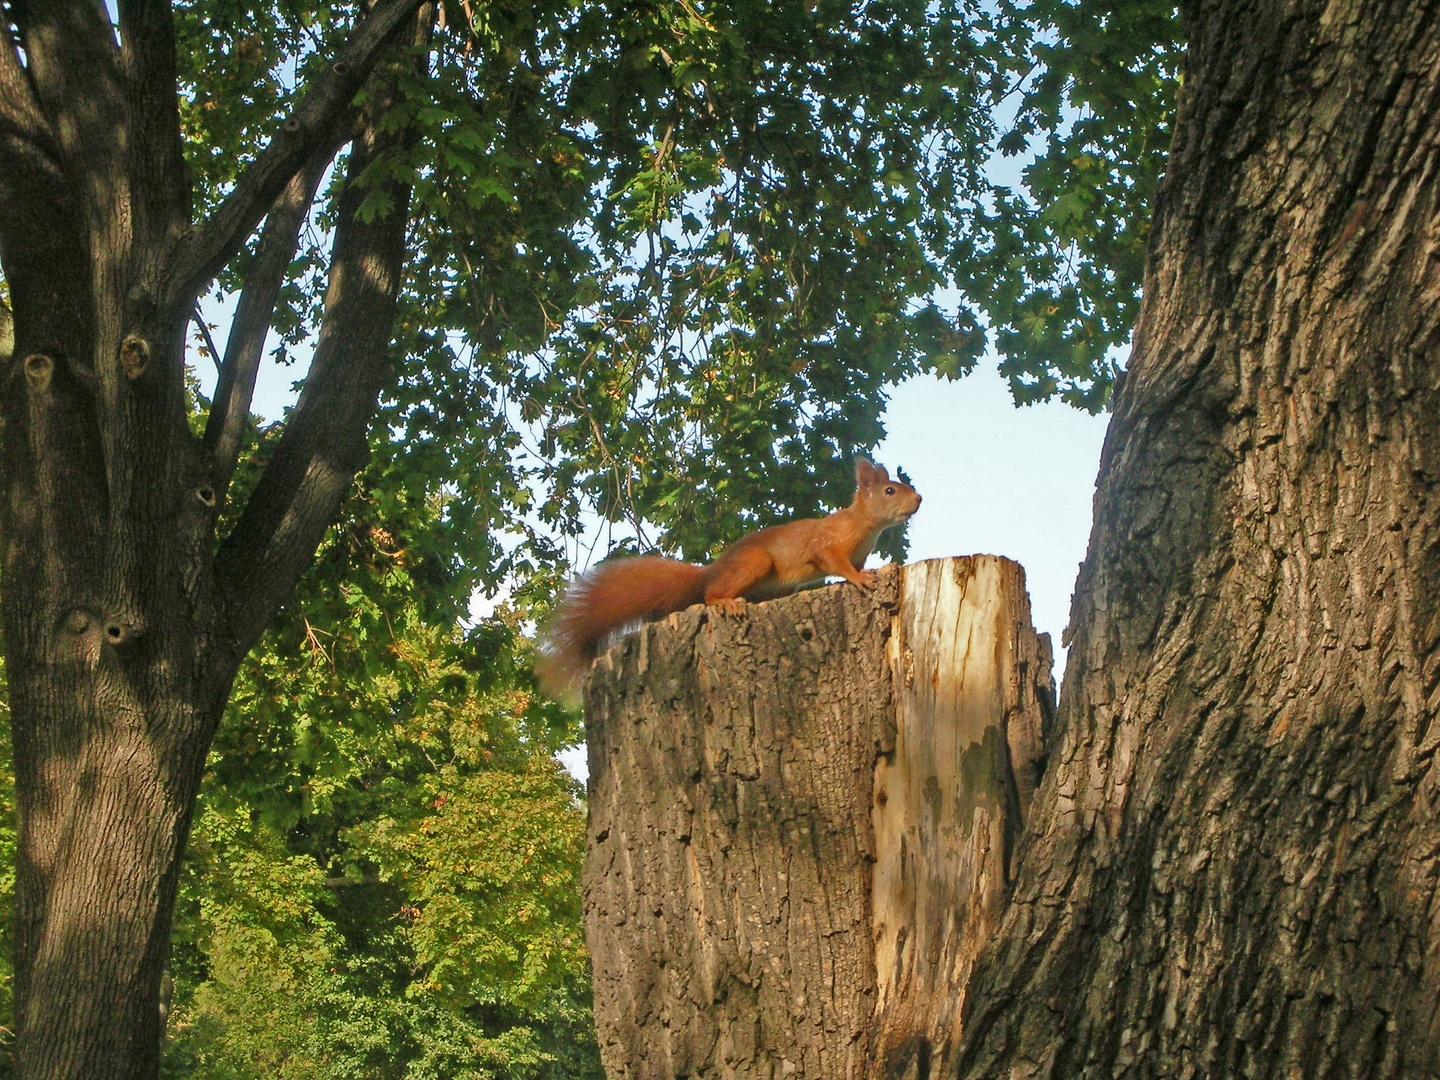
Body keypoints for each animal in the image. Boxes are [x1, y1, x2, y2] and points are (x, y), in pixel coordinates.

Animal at [538, 455, 921, 694]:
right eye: (889, 491)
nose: (918, 499)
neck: (864, 524)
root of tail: (711, 572)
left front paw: (863, 573)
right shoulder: (828, 545)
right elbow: (836, 563)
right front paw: (860, 579)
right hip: (754, 563)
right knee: (709, 595)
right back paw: (726, 602)